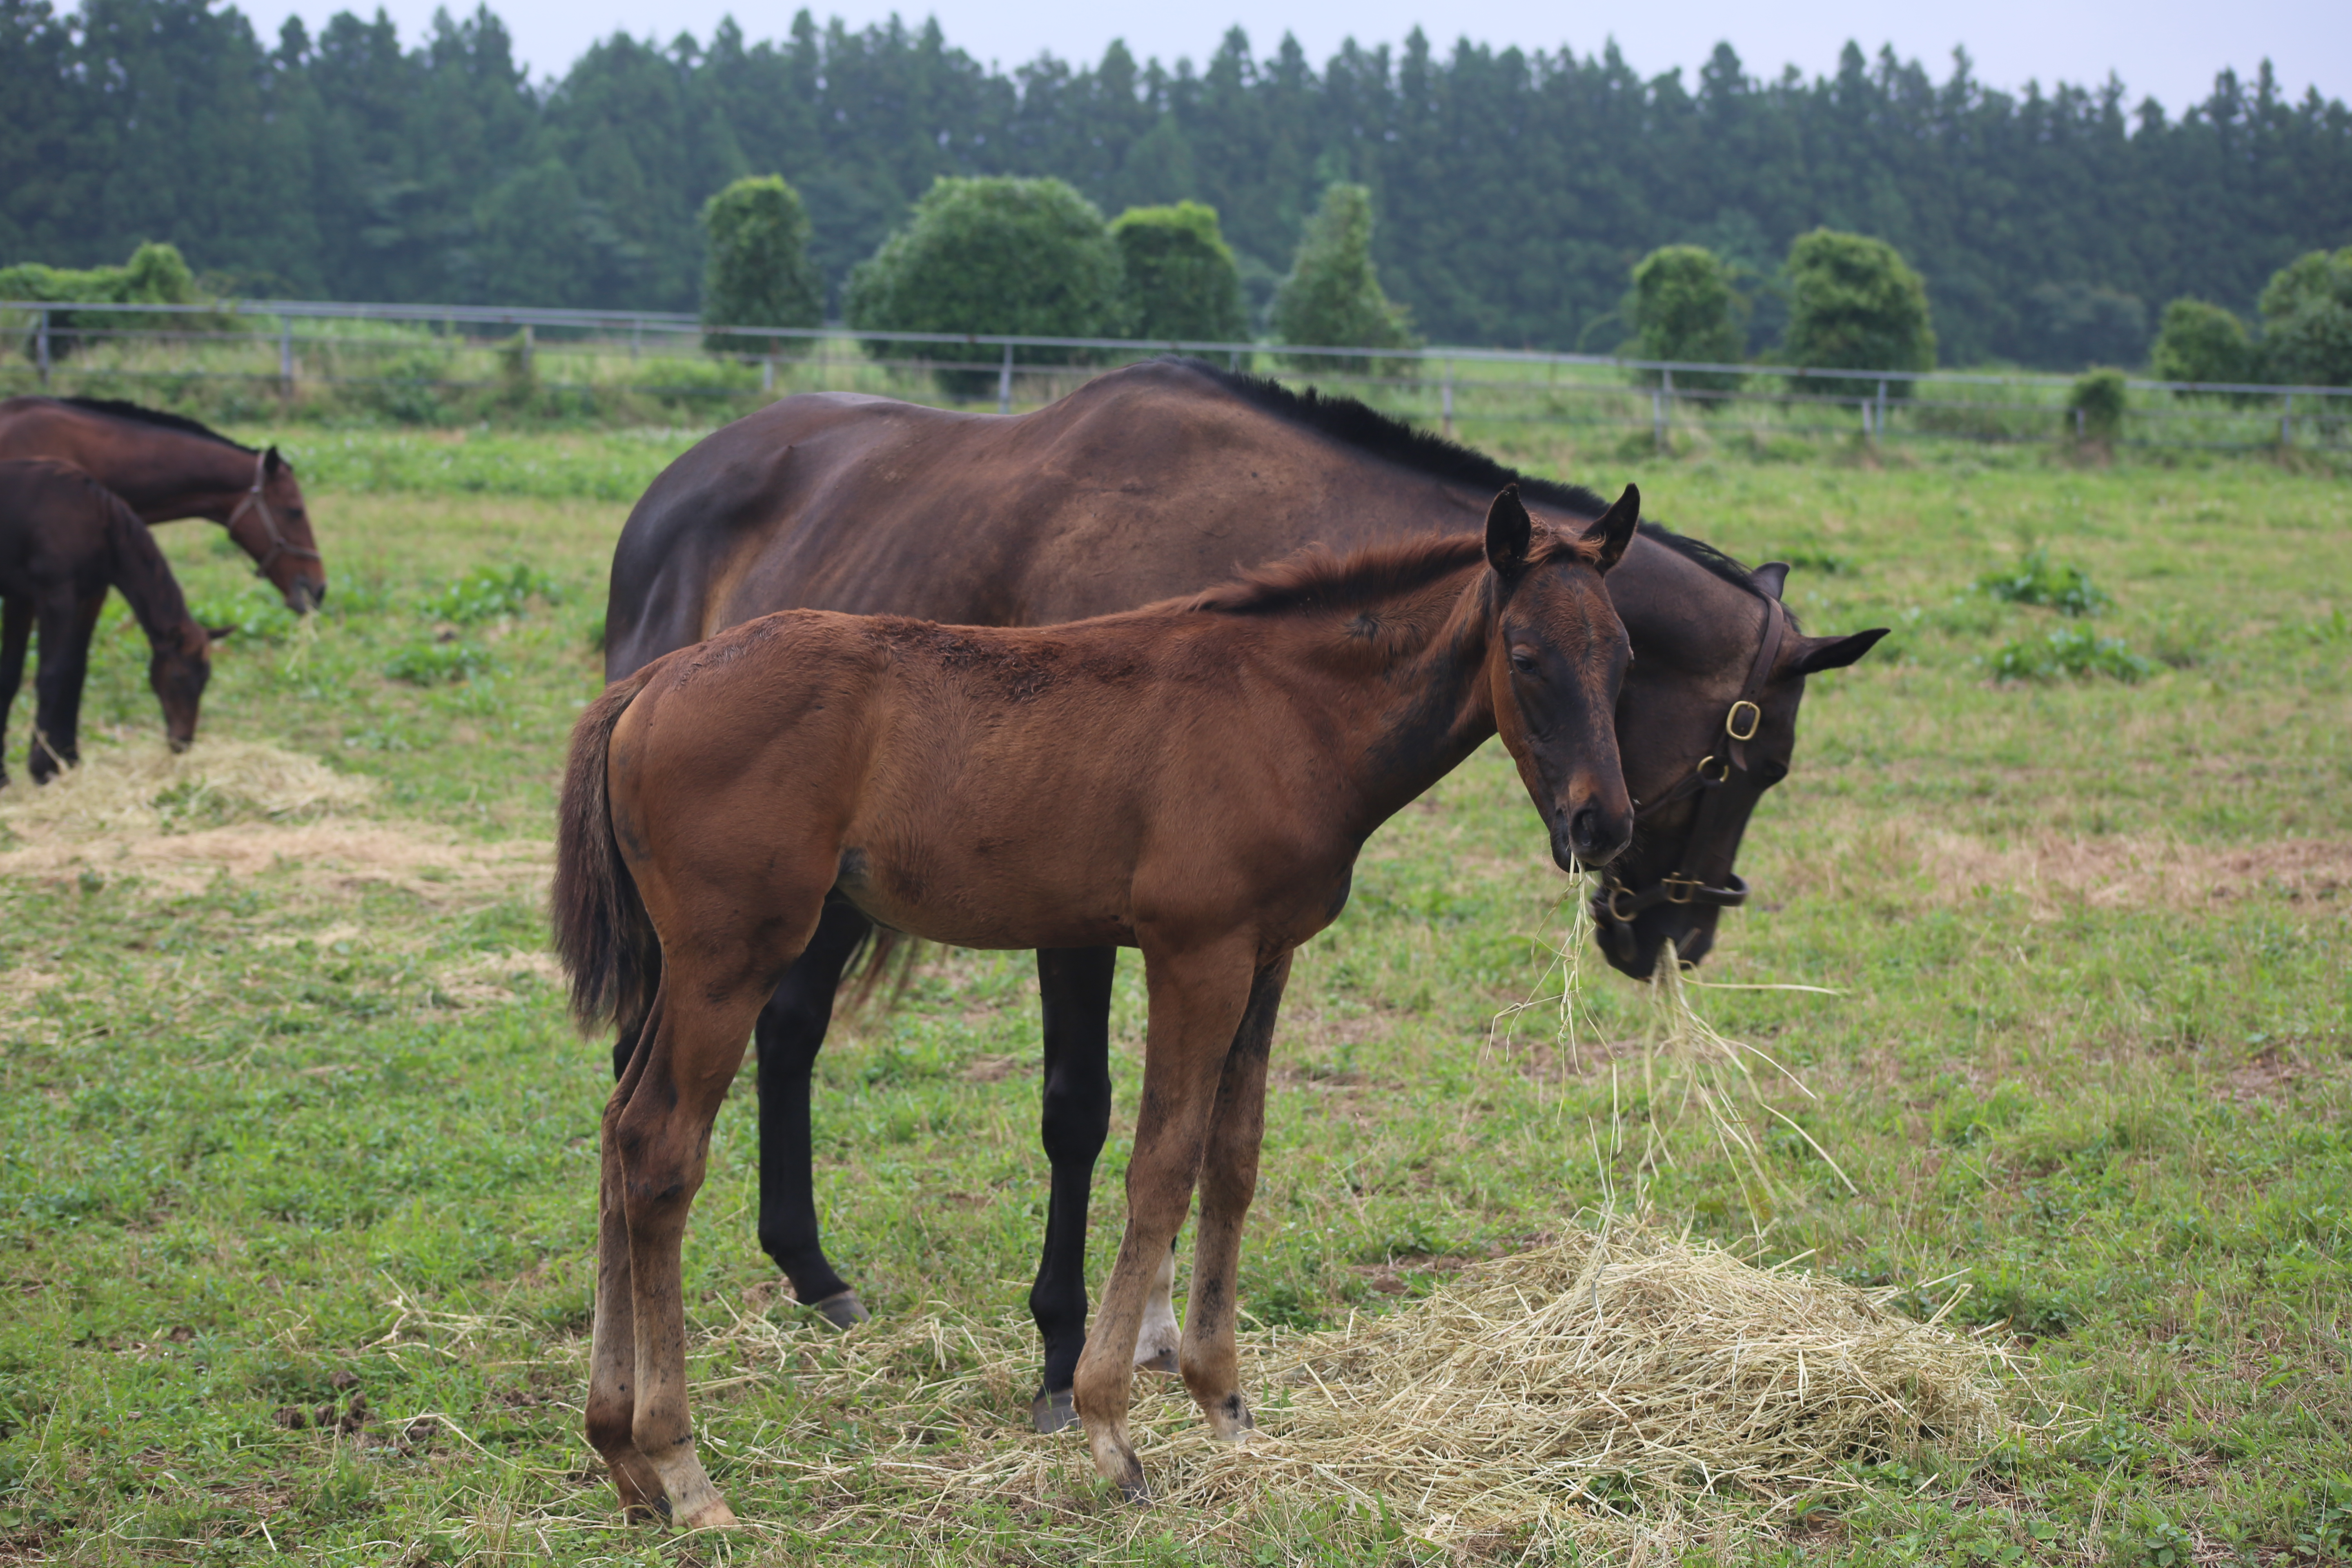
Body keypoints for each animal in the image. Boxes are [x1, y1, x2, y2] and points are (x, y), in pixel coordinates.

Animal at [3, 461, 229, 790]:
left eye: (206, 679)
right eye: (178, 677)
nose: (182, 742)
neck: (98, 521)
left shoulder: (32, 598)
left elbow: (28, 674)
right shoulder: (53, 596)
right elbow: (51, 676)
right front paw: (42, 768)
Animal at [559, 486, 1646, 1523]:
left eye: (1626, 654)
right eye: (1526, 656)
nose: (1602, 823)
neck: (1283, 710)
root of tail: (653, 683)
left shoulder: (1268, 956)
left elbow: (1233, 1160)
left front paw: (1226, 1405)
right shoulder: (1194, 953)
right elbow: (1160, 1165)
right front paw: (1110, 1429)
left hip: (687, 966)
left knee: (615, 1127)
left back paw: (622, 1458)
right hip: (732, 957)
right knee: (660, 1147)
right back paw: (682, 1468)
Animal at [597, 362, 1882, 1429]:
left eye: (1624, 670)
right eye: (1755, 761)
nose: (1676, 927)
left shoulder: (1235, 937)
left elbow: (1216, 1135)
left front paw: (1166, 1342)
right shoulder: (1102, 925)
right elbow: (1089, 1119)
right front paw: (1067, 1359)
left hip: (810, 899)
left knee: (770, 1038)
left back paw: (805, 1275)